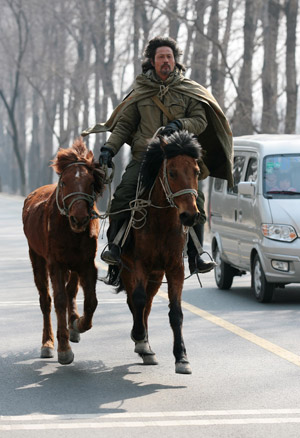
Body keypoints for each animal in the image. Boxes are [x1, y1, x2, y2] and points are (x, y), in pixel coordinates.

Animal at [22, 139, 105, 364]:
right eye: (65, 182)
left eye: (91, 183)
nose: (79, 218)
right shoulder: (55, 263)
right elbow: (58, 300)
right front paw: (64, 349)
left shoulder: (86, 262)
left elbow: (91, 301)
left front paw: (77, 324)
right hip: (36, 257)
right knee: (46, 300)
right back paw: (47, 343)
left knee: (71, 290)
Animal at [118, 130, 203, 372]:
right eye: (172, 172)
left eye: (196, 171)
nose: (190, 216)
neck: (161, 223)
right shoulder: (138, 264)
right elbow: (137, 300)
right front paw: (139, 337)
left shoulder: (175, 268)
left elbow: (176, 312)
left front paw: (182, 357)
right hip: (129, 270)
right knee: (136, 302)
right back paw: (142, 341)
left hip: (156, 276)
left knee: (147, 305)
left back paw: (146, 347)